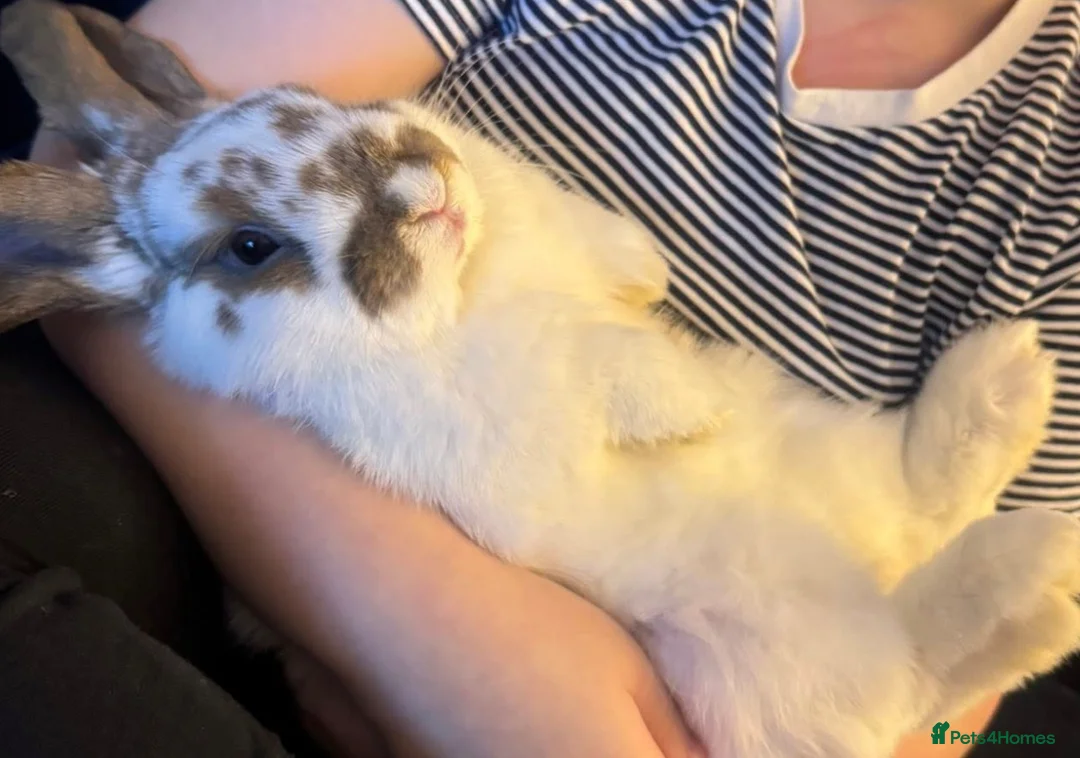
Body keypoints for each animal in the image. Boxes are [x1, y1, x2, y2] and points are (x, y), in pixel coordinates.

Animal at [1, 2, 1079, 756]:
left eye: (306, 100)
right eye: (250, 247)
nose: (420, 185)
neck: (470, 280)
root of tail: (866, 556)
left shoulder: (538, 217)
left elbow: (597, 250)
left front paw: (646, 275)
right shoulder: (494, 418)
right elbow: (576, 353)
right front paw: (683, 404)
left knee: (926, 510)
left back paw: (1008, 384)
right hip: (762, 650)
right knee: (905, 673)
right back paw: (1040, 563)